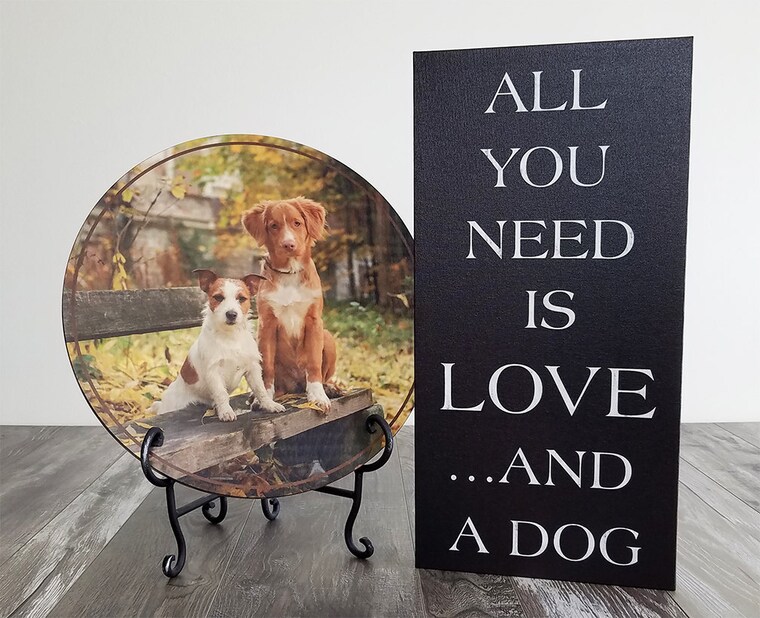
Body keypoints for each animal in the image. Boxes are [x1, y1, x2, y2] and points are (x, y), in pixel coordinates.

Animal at [151, 269, 285, 421]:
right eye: (218, 297)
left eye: (241, 298)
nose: (231, 314)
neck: (230, 337)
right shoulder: (213, 372)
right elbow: (221, 394)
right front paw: (226, 411)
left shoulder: (253, 368)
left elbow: (260, 390)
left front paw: (269, 405)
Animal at [241, 197, 340, 413]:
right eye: (273, 226)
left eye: (297, 223)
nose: (289, 244)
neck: (290, 273)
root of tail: (294, 386)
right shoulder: (267, 325)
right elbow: (267, 368)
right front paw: (265, 398)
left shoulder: (314, 322)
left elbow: (314, 364)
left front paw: (318, 395)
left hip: (327, 337)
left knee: (322, 374)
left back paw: (329, 387)